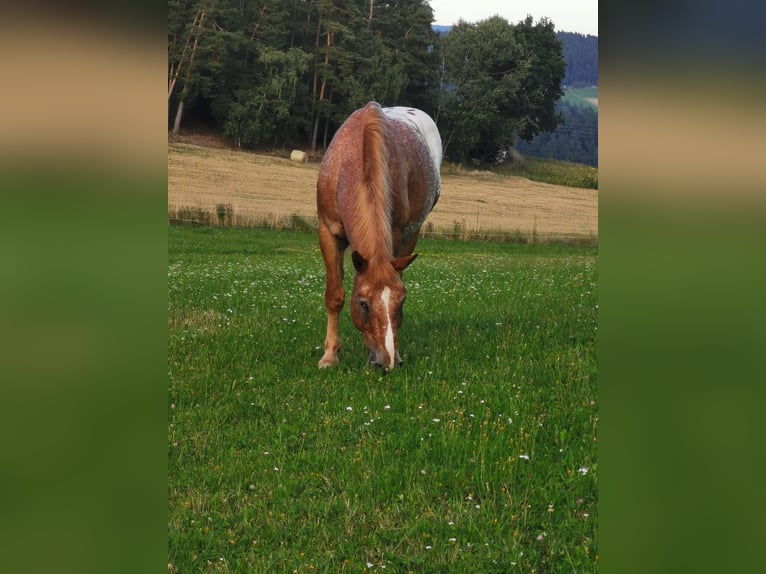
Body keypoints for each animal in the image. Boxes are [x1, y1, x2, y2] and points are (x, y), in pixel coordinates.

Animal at [318, 102, 444, 374]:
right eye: (363, 304)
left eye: (402, 302)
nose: (386, 362)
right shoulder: (327, 231)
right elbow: (334, 296)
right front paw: (330, 356)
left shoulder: (395, 234)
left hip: (411, 234)